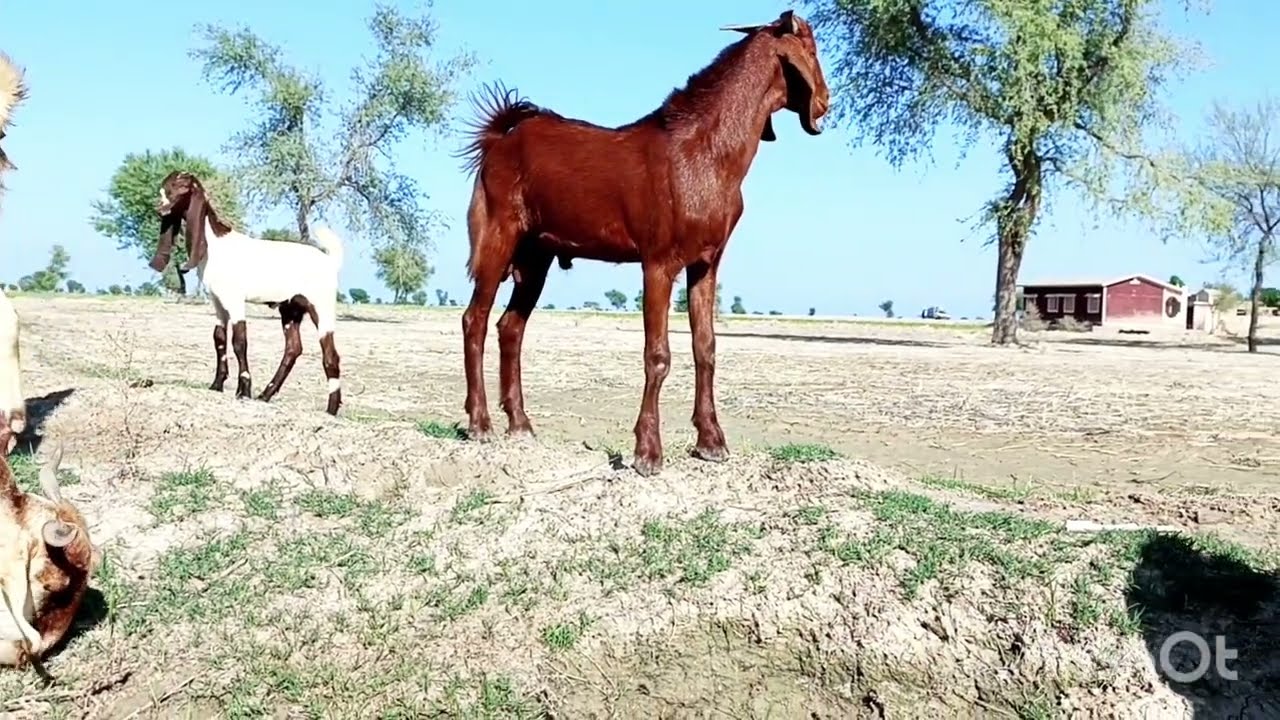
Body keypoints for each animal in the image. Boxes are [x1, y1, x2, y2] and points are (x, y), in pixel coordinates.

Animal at [147, 171, 346, 415]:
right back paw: (266, 395)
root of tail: (330, 260)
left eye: (183, 187)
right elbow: (219, 338)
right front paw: (217, 384)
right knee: (293, 348)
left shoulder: (234, 300)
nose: (160, 208)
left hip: (321, 306)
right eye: (165, 186)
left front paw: (243, 390)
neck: (215, 245)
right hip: (291, 309)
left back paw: (332, 409)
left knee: (330, 354)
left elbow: (239, 341)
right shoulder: (217, 301)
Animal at [455, 11, 830, 476]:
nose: (826, 103)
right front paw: (647, 451)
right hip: (498, 239)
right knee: (475, 320)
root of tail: (499, 139)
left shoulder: (706, 264)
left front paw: (711, 441)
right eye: (810, 48)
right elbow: (658, 353)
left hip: (536, 257)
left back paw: (521, 424)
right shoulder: (658, 263)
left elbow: (705, 347)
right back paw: (480, 422)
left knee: (511, 327)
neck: (702, 151)